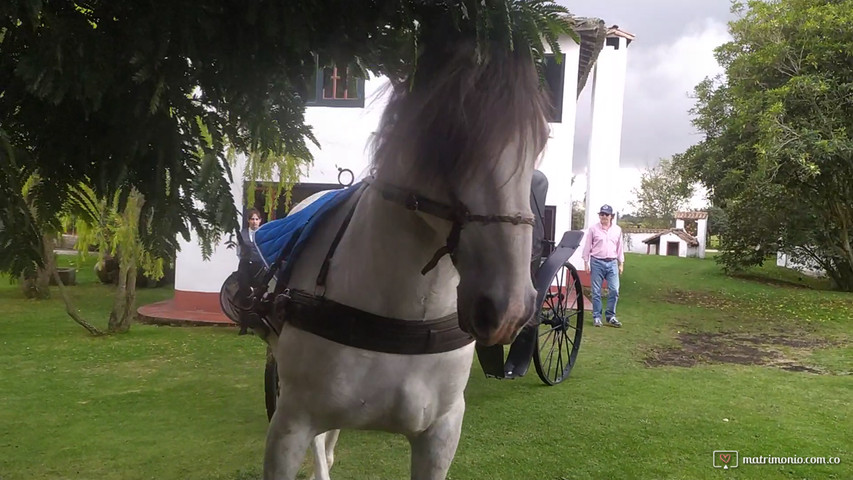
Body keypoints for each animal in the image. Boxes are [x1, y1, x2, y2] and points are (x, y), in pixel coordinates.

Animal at [262, 35, 548, 478]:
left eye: (541, 140)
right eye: (449, 134)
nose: (509, 309)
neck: (403, 316)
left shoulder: (441, 434)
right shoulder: (289, 425)